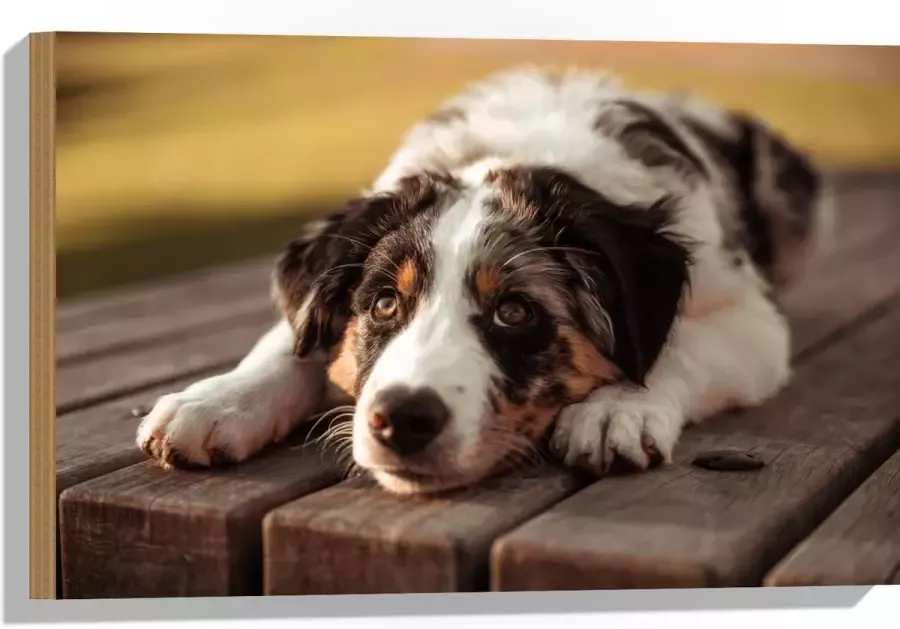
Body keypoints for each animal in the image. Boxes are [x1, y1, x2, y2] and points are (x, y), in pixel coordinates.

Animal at [137, 66, 832, 494]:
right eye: (384, 304)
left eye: (515, 312)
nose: (401, 420)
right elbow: (289, 339)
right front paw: (215, 402)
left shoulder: (751, 319)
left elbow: (677, 345)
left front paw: (616, 409)